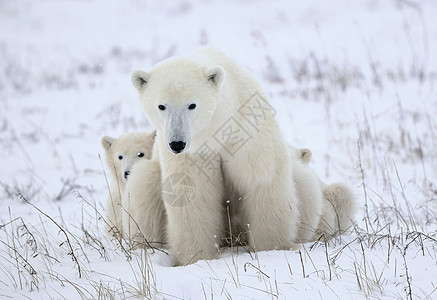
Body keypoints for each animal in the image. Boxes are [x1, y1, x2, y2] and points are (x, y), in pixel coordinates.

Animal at [133, 47, 310, 264]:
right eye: (161, 106)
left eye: (192, 105)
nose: (177, 143)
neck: (216, 129)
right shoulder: (193, 153)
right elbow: (192, 195)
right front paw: (197, 257)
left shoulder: (245, 130)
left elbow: (261, 180)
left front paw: (271, 248)